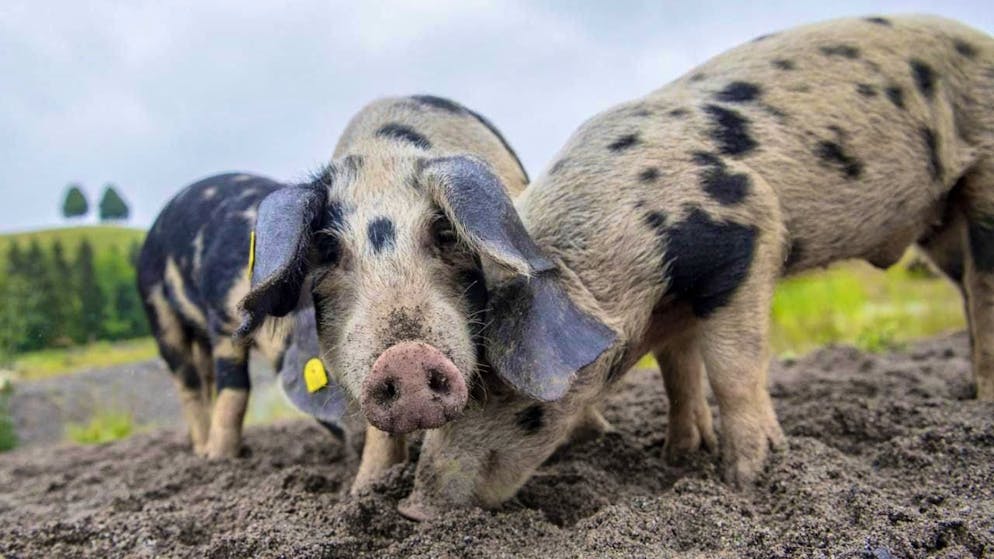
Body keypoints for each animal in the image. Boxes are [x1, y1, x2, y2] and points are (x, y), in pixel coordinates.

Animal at [138, 174, 347, 458]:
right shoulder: (224, 320)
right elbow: (237, 387)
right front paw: (221, 457)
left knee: (206, 378)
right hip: (157, 308)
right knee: (186, 380)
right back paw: (201, 451)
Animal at [397, 15, 994, 518]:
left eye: (494, 385)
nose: (412, 510)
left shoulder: (746, 239)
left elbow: (733, 368)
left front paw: (746, 478)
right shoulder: (673, 302)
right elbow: (678, 372)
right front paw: (679, 456)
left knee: (983, 283)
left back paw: (981, 403)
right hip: (941, 225)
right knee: (966, 286)